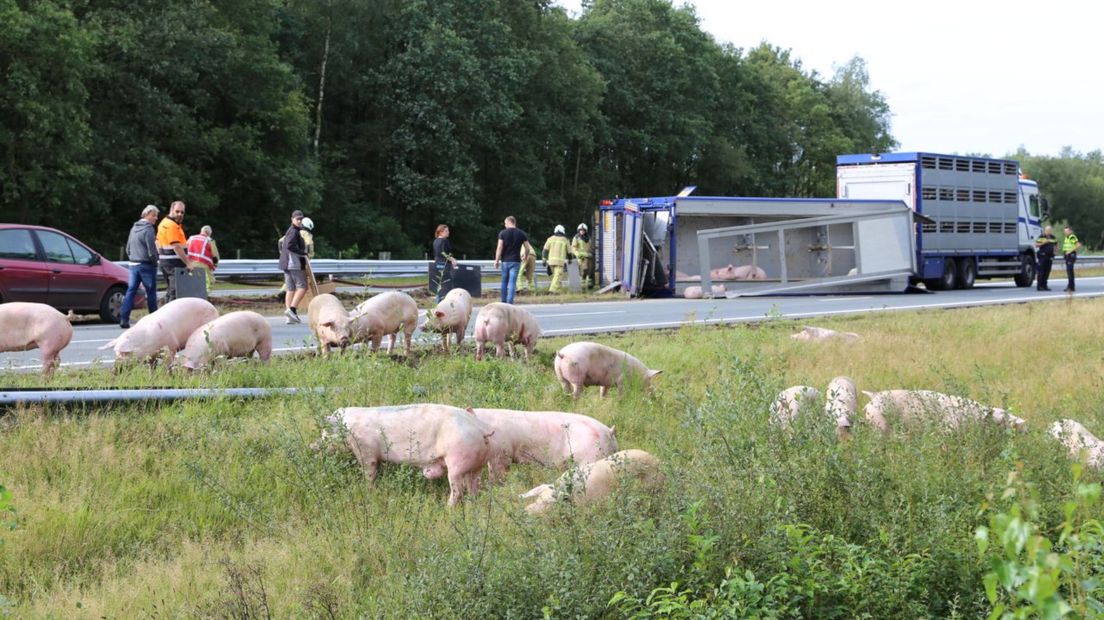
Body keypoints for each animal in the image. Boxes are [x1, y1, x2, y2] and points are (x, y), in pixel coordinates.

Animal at [322, 403, 496, 505]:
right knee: (474, 487)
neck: (347, 429)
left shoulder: (366, 450)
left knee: (458, 490)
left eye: (324, 434)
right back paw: (471, 505)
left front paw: (368, 491)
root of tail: (481, 430)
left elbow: (369, 472)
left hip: (457, 462)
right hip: (477, 465)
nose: (317, 446)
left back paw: (447, 508)